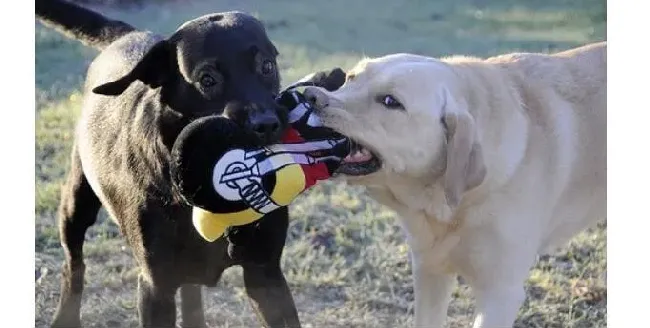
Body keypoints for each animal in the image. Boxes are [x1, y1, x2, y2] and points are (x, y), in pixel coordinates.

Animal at [36, 0, 344, 328]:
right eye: (207, 79)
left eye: (266, 66)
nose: (266, 124)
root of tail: (129, 36)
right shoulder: (156, 286)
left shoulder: (265, 274)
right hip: (76, 204)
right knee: (74, 266)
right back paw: (65, 316)